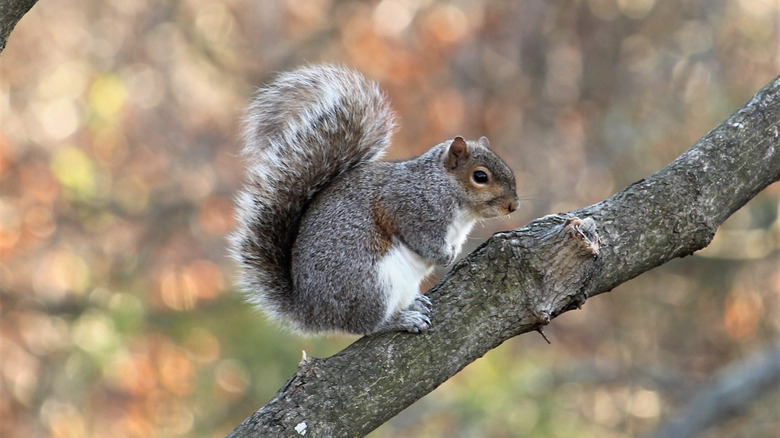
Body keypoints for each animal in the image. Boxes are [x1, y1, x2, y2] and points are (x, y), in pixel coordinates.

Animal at [229, 64, 519, 336]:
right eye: (480, 176)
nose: (513, 205)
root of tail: (311, 310)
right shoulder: (411, 208)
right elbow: (423, 241)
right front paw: (445, 257)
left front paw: (453, 252)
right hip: (371, 285)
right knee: (367, 325)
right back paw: (402, 320)